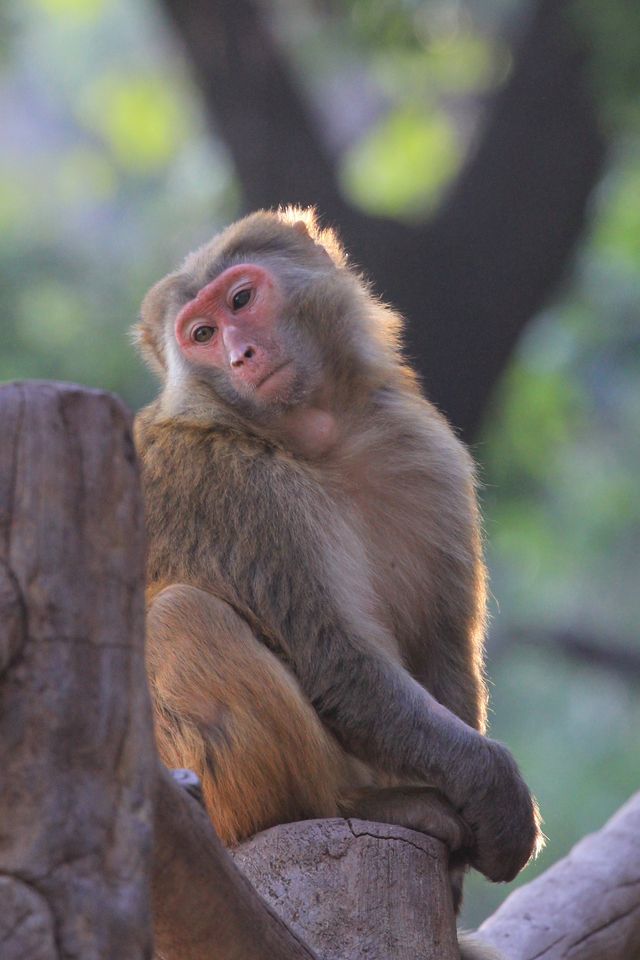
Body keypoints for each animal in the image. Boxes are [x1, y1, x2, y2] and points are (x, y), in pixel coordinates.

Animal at [134, 208, 540, 936]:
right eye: (201, 335)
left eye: (241, 300)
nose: (239, 355)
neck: (311, 442)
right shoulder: (238, 490)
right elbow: (337, 659)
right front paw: (491, 784)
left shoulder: (420, 445)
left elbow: (438, 644)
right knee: (180, 616)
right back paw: (351, 804)